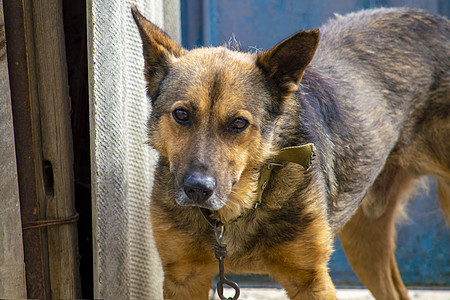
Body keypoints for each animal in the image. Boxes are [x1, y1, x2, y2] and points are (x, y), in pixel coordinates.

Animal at [132, 7, 448, 300]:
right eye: (181, 115)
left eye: (239, 123)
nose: (197, 189)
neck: (236, 210)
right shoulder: (184, 277)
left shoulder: (311, 280)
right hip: (364, 238)